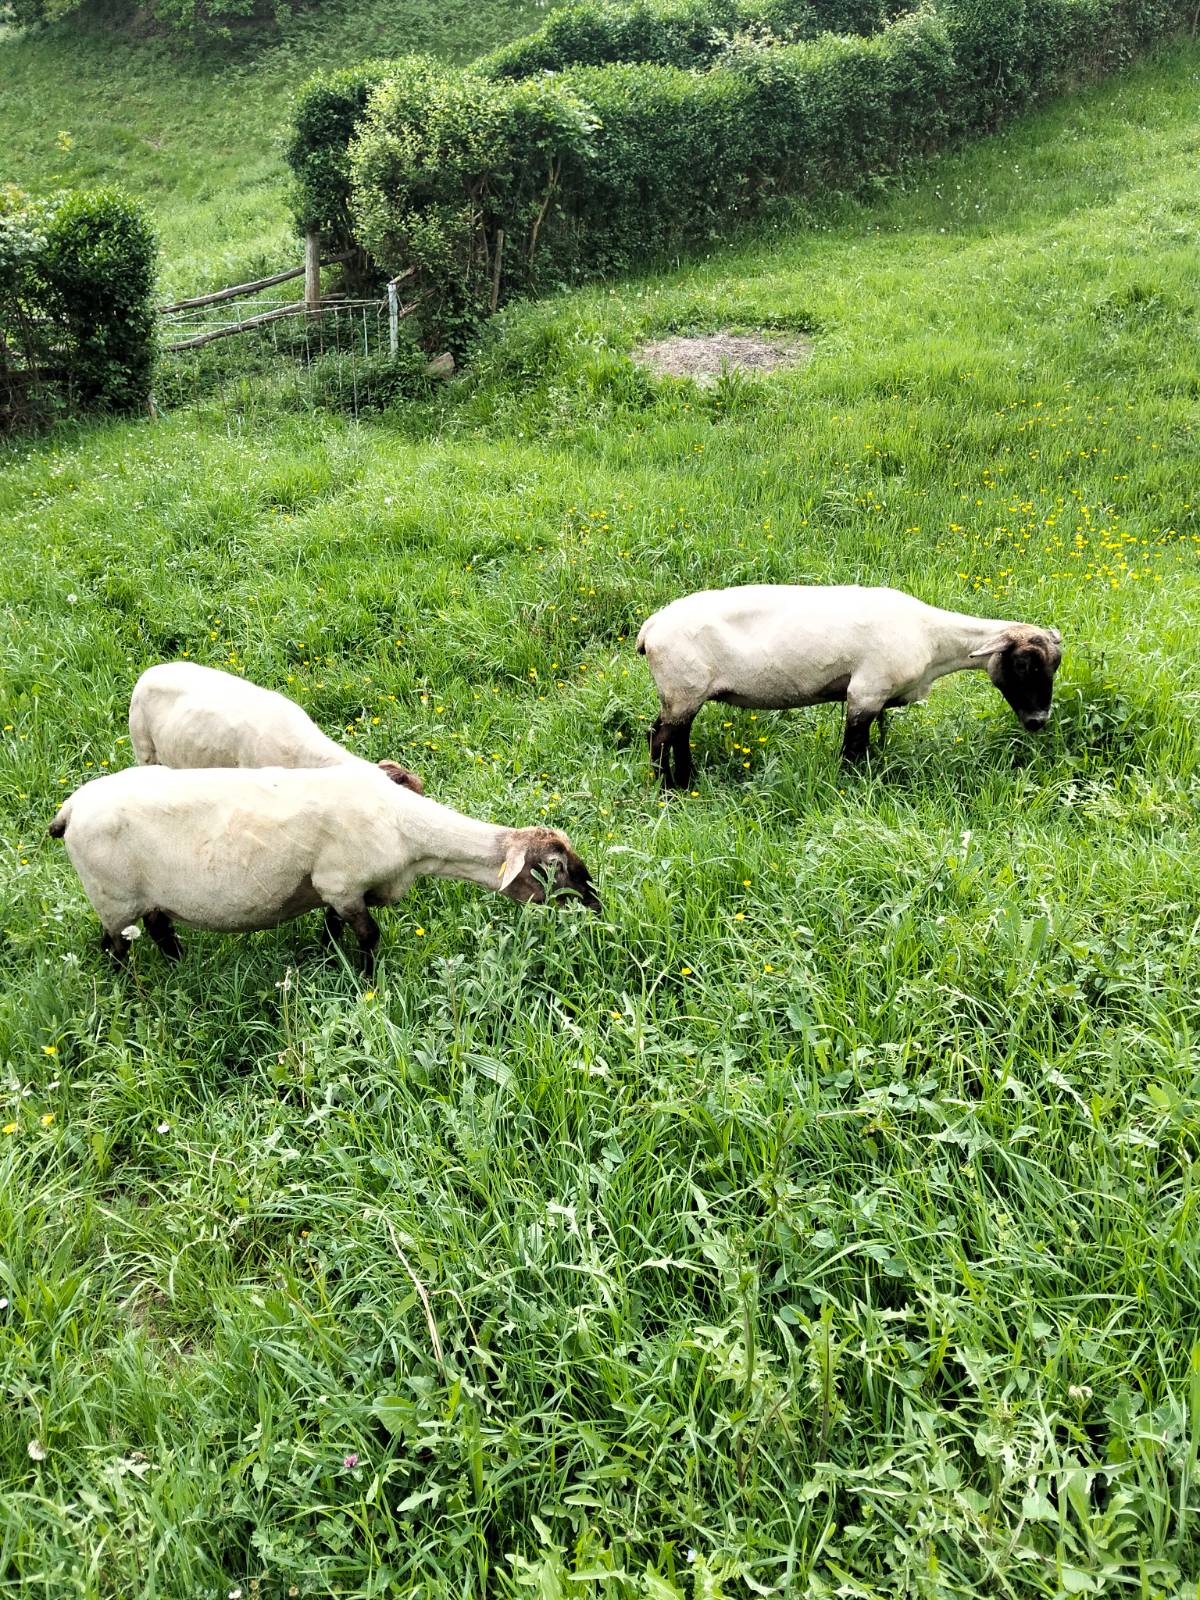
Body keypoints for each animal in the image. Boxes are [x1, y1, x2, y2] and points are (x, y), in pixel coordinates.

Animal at [48, 764, 599, 972]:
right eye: (554, 868)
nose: (597, 903)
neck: (407, 830)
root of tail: (70, 808)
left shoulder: (330, 891)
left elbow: (332, 931)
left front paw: (330, 963)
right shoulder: (342, 884)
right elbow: (369, 936)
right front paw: (370, 982)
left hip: (145, 898)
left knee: (159, 930)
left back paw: (179, 966)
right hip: (113, 898)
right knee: (115, 948)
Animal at [636, 584, 1063, 785]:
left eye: (1055, 667)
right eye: (1023, 664)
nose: (1039, 721)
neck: (933, 638)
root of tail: (651, 627)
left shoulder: (878, 699)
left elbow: (869, 746)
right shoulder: (865, 692)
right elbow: (852, 751)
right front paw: (849, 789)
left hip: (684, 692)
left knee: (677, 737)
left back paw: (686, 781)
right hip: (682, 689)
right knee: (660, 737)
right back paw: (666, 790)